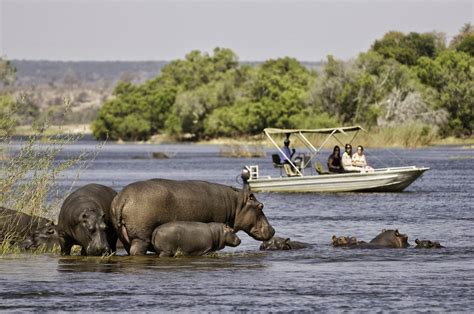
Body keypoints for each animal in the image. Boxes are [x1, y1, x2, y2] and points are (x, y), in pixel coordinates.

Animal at [110, 179, 274, 255]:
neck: (236, 204)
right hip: (141, 238)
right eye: (261, 206)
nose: (273, 230)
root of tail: (122, 198)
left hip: (125, 237)